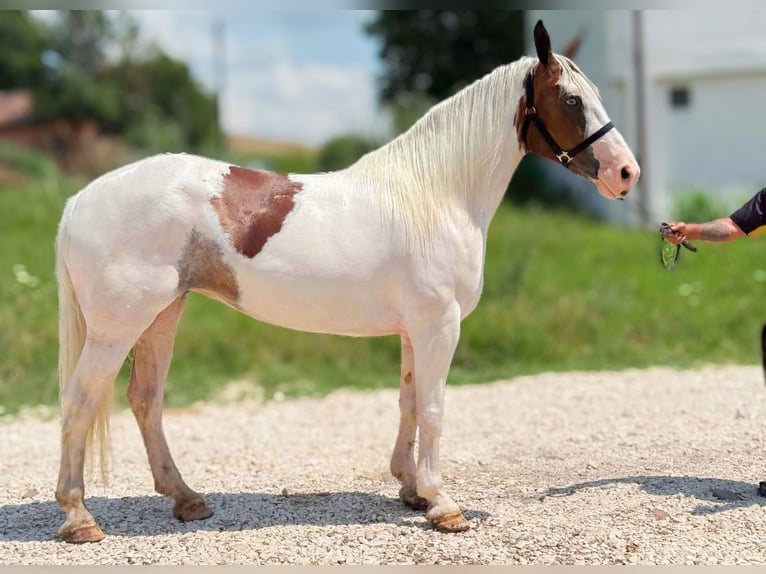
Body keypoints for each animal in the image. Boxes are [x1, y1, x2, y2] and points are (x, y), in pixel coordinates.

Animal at [53, 20, 639, 543]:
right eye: (570, 100)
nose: (627, 173)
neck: (435, 194)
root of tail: (80, 199)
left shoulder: (414, 331)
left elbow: (409, 402)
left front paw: (412, 490)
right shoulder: (438, 326)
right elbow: (433, 408)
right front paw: (443, 505)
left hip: (162, 314)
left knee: (145, 400)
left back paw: (186, 499)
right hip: (117, 327)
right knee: (80, 400)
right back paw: (79, 518)